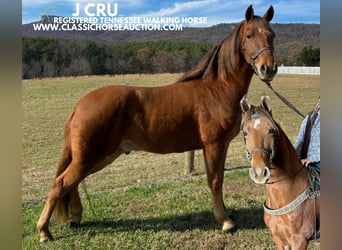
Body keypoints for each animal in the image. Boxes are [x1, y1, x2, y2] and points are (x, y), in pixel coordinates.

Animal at [36, 4, 278, 241]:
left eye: (271, 35)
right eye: (249, 35)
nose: (268, 68)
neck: (216, 89)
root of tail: (79, 106)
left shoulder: (222, 145)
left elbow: (219, 179)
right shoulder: (213, 145)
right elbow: (215, 180)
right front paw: (226, 222)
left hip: (98, 156)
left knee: (73, 183)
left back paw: (75, 219)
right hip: (90, 157)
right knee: (61, 183)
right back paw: (44, 231)